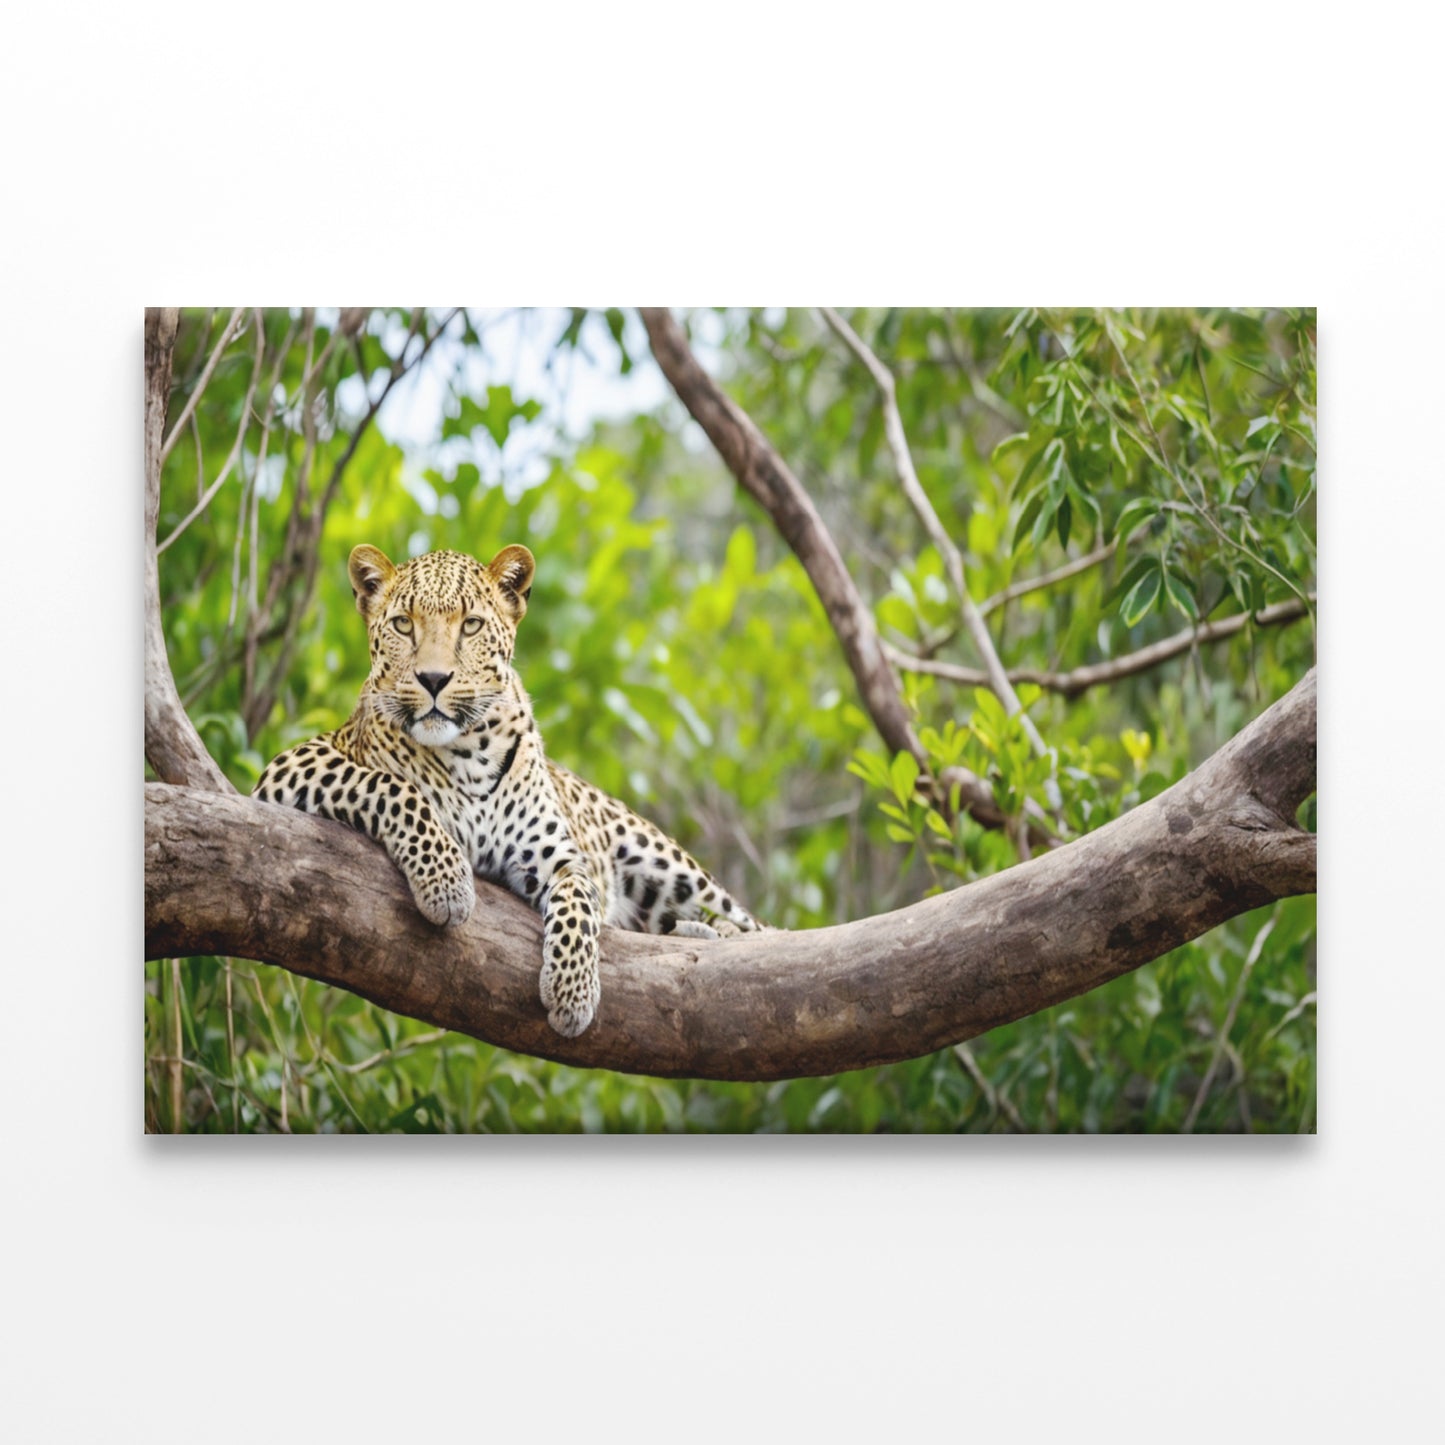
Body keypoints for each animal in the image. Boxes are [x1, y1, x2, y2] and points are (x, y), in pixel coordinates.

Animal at [253, 542, 761, 1037]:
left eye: (471, 625)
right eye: (403, 624)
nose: (433, 679)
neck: (468, 753)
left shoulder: (558, 856)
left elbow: (579, 901)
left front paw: (572, 992)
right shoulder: (291, 766)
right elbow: (389, 785)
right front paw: (446, 882)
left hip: (666, 863)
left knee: (751, 927)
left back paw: (712, 935)